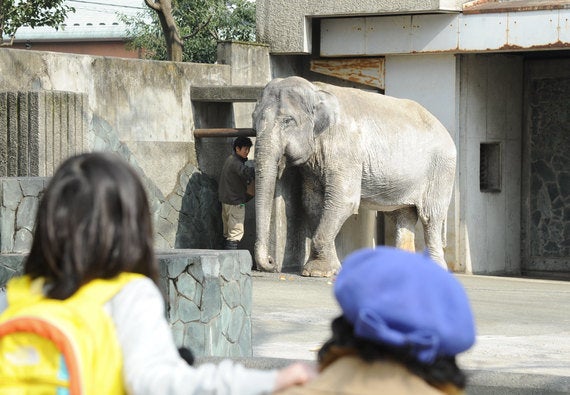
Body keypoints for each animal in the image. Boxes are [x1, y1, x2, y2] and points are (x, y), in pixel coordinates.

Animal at [251, 76, 454, 276]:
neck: (316, 90)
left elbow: (344, 201)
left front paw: (317, 273)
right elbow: (312, 202)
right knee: (403, 215)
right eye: (253, 119)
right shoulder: (312, 166)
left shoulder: (346, 150)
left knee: (430, 217)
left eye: (288, 121)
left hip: (442, 170)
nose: (271, 263)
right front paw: (327, 270)